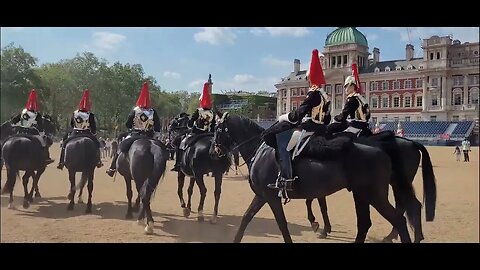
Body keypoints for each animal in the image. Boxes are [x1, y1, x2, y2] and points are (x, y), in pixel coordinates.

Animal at [212, 113, 430, 244]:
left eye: (217, 130)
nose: (214, 153)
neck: (260, 149)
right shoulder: (263, 195)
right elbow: (246, 218)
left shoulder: (271, 196)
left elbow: (282, 223)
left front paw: (319, 226)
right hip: (364, 194)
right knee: (372, 221)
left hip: (375, 195)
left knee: (399, 217)